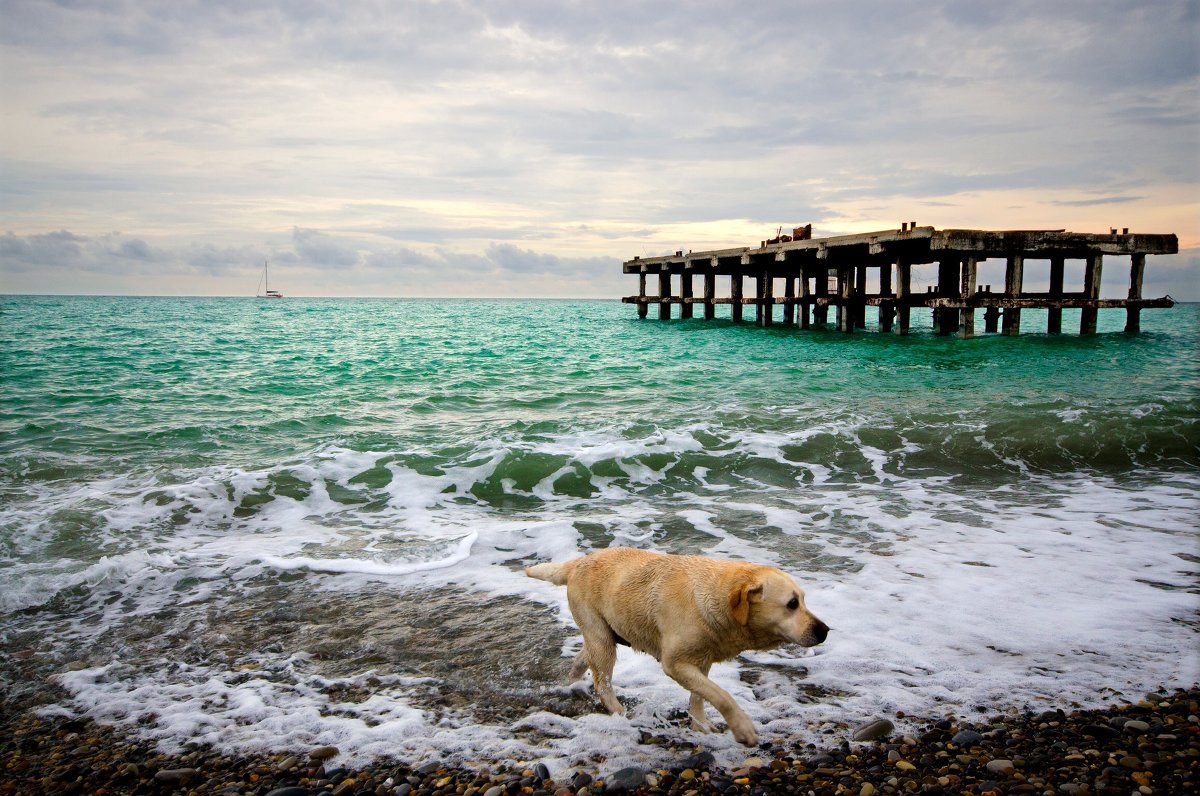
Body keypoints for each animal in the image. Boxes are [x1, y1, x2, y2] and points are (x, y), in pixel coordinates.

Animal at [525, 547, 825, 749]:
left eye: (804, 600)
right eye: (792, 604)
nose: (824, 630)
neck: (717, 599)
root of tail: (578, 561)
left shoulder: (702, 658)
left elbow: (701, 695)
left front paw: (700, 724)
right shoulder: (674, 663)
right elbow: (722, 695)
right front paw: (742, 729)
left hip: (603, 634)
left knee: (583, 660)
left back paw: (570, 683)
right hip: (599, 634)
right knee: (603, 681)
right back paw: (619, 713)